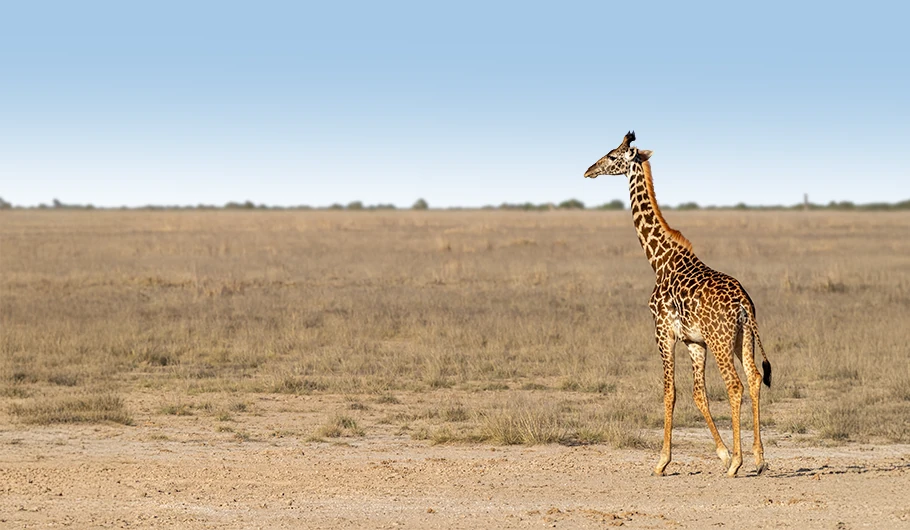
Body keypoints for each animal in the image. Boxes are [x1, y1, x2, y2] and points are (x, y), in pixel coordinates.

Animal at [583, 131, 772, 477]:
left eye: (613, 156)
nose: (589, 170)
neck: (659, 260)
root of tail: (743, 305)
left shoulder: (663, 332)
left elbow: (669, 392)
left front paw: (662, 461)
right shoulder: (694, 342)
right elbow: (699, 395)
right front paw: (722, 453)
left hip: (722, 341)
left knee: (735, 385)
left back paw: (738, 464)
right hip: (743, 338)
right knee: (753, 379)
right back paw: (758, 458)